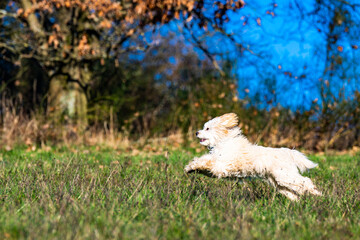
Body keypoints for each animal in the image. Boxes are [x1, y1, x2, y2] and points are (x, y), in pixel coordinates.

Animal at [184, 112, 322, 201]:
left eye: (207, 128)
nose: (196, 132)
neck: (223, 143)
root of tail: (287, 152)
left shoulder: (221, 166)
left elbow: (206, 162)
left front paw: (192, 166)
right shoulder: (216, 169)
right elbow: (203, 163)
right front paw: (190, 168)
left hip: (285, 176)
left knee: (306, 182)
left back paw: (318, 194)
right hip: (278, 182)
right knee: (294, 191)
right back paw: (296, 201)